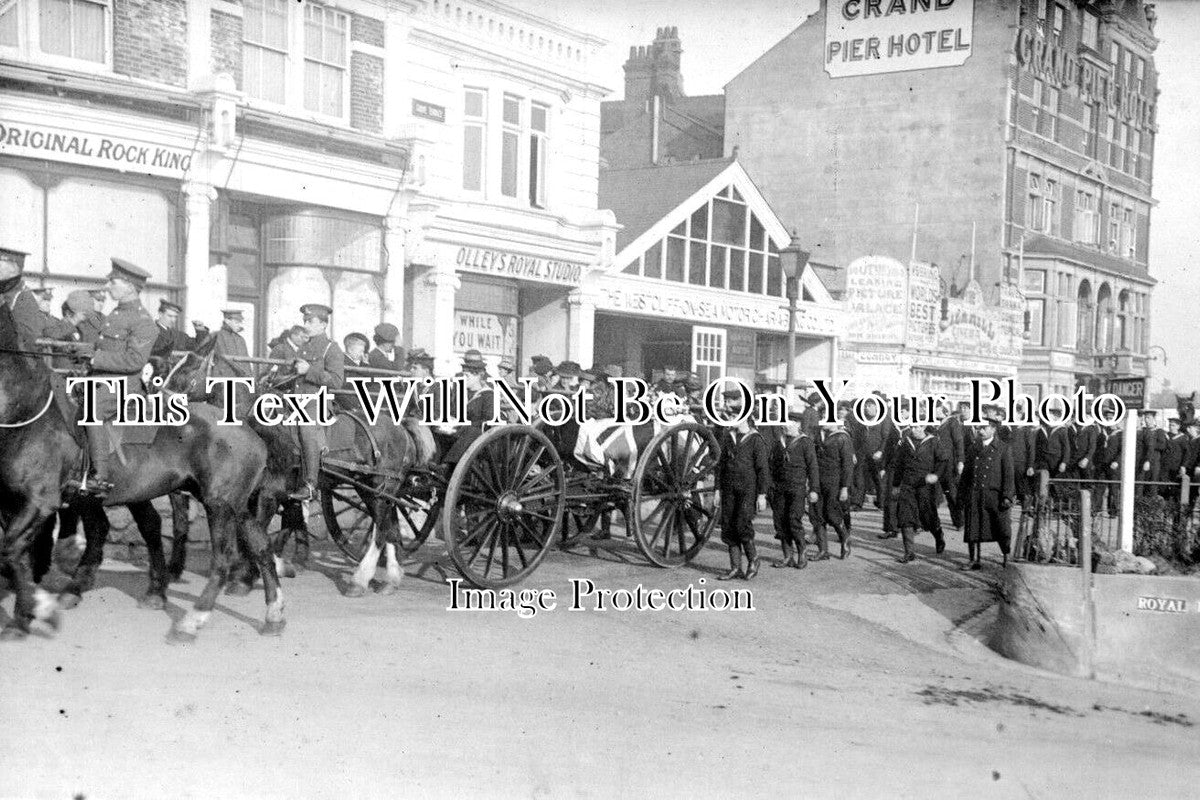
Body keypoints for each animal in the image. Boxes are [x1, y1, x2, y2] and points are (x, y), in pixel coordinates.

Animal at [0, 304, 283, 642]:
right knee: (261, 546)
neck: (26, 410)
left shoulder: (39, 502)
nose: (165, 394)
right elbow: (14, 553)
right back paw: (272, 614)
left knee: (223, 558)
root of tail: (250, 432)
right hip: (233, 505)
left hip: (220, 505)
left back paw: (192, 619)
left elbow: (11, 550)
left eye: (189, 369)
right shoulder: (11, 502)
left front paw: (34, 609)